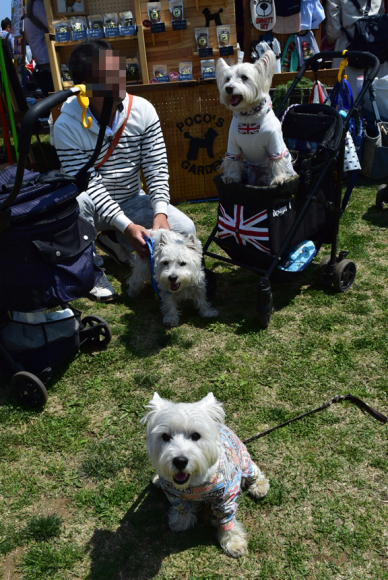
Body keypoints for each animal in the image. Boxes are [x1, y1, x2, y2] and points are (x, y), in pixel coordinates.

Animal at [140, 392, 270, 560]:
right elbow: (181, 508)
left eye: (196, 435)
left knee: (254, 471)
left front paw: (234, 543)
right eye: (165, 436)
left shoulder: (225, 499)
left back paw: (259, 486)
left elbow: (227, 521)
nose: (180, 461)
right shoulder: (173, 494)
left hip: (245, 461)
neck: (193, 484)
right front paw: (180, 521)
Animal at [215, 49, 298, 187]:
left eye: (244, 77)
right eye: (227, 79)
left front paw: (278, 178)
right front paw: (231, 177)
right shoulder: (232, 145)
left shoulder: (274, 144)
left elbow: (276, 163)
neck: (249, 116)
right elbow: (233, 162)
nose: (228, 88)